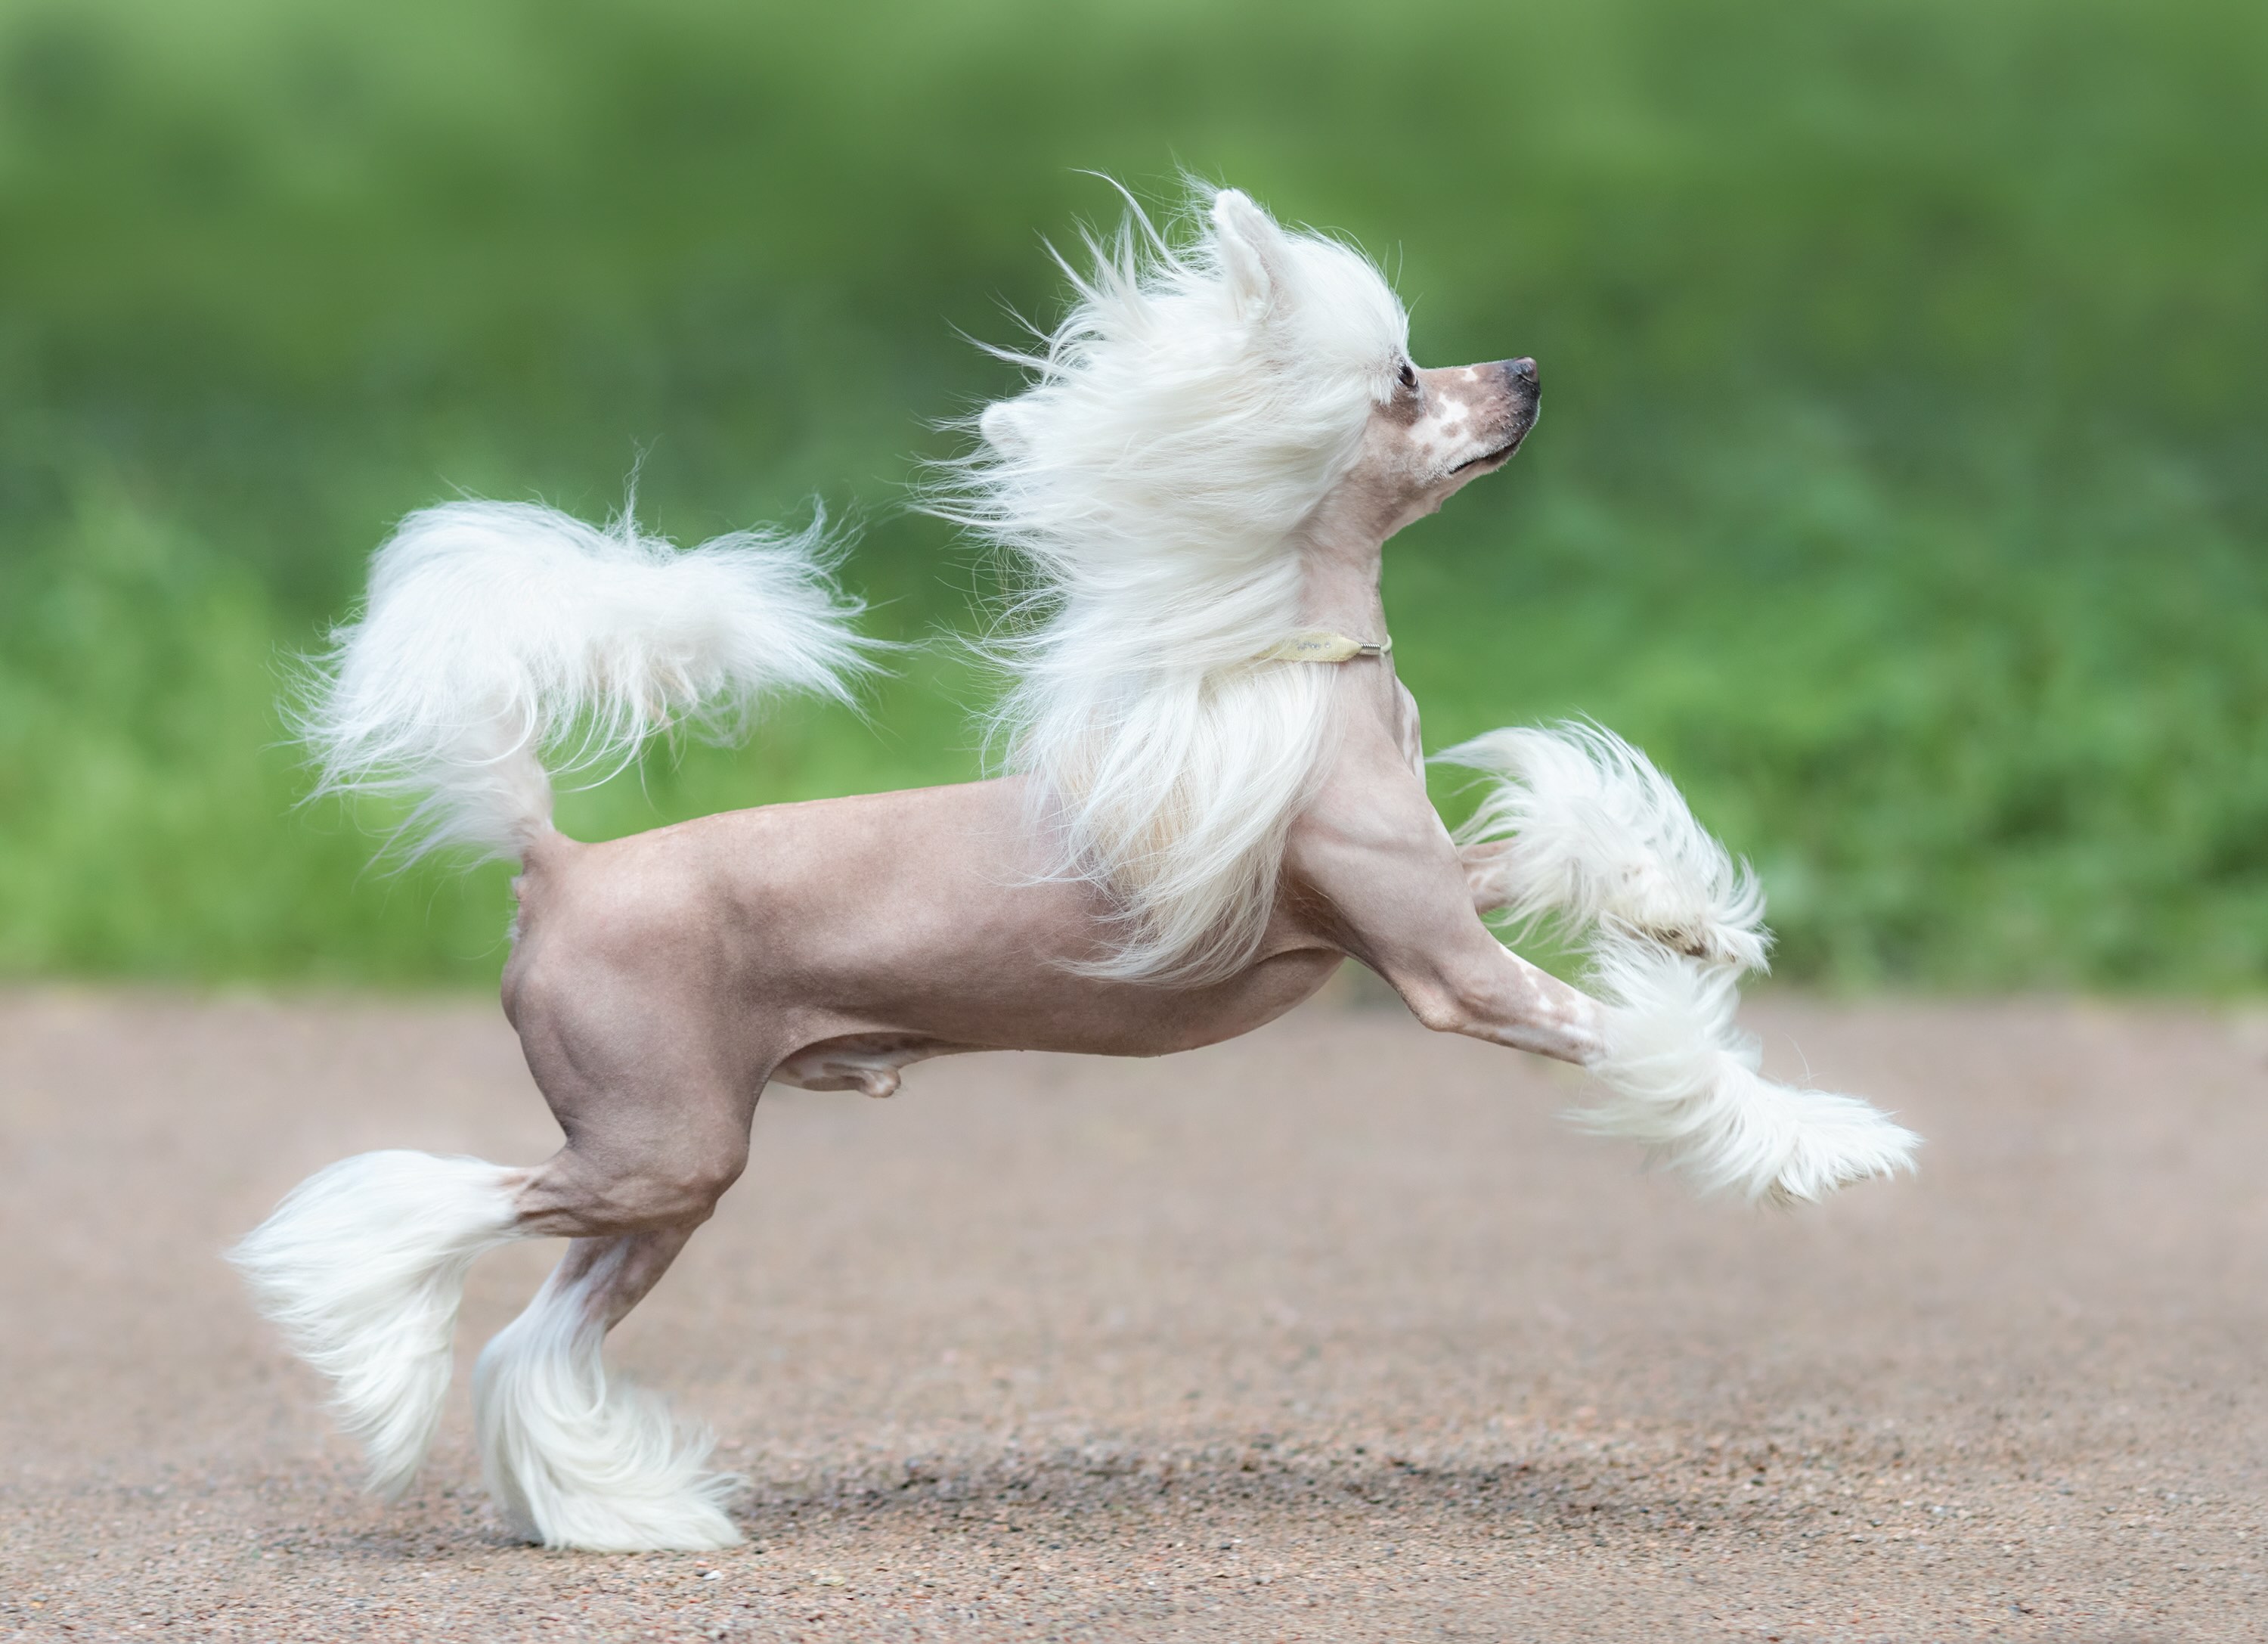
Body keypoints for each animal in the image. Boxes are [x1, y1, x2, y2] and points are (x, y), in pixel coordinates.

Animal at [234, 185, 1914, 1542]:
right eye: (1400, 382)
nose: (1528, 373)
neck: (1295, 676)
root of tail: (559, 860)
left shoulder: (1422, 900)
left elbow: (1558, 842)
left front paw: (1687, 917)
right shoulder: (1447, 970)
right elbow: (1648, 1044)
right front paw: (1825, 1139)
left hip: (671, 1180)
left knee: (538, 1339)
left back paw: (619, 1513)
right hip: (657, 1146)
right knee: (437, 1211)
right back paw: (357, 1312)